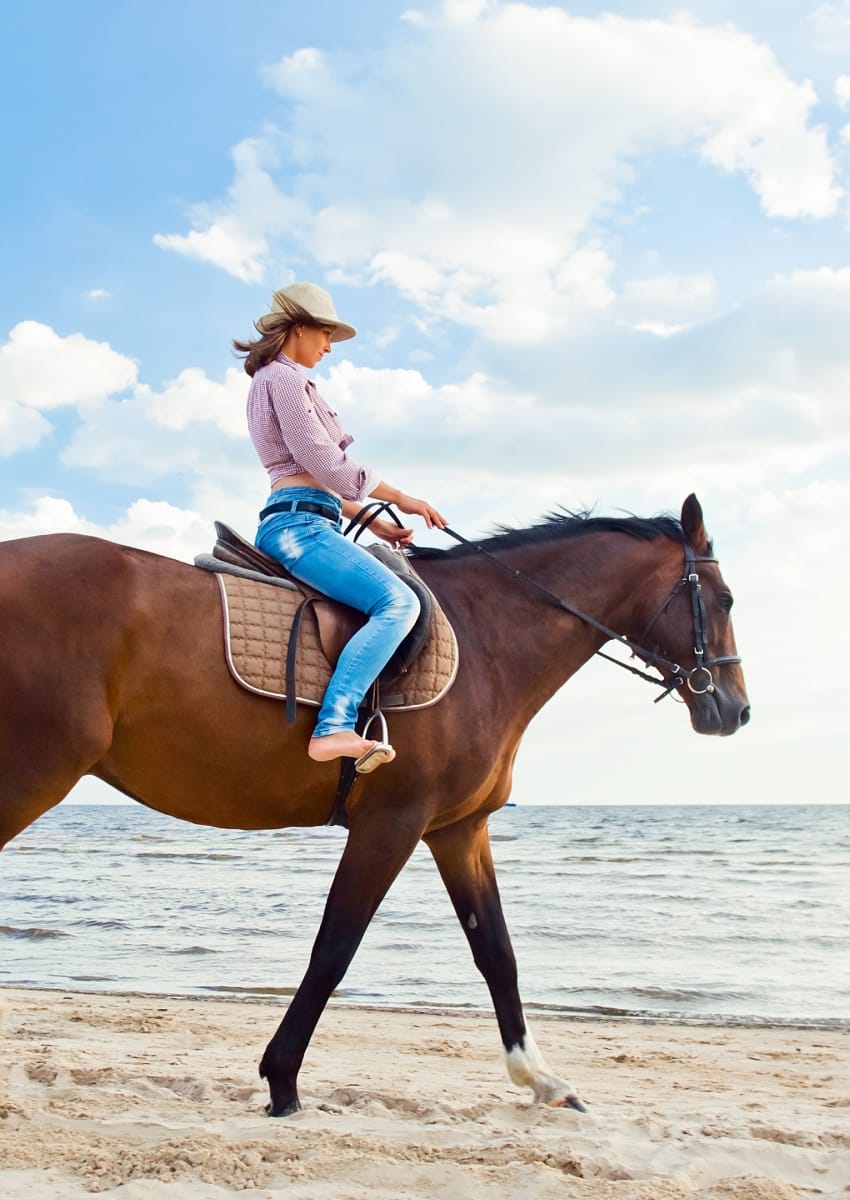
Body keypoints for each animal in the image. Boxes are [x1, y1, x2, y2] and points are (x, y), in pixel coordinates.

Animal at [0, 493, 749, 1116]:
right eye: (727, 600)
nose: (735, 710)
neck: (488, 639)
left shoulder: (458, 830)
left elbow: (496, 952)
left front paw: (541, 1078)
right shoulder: (392, 825)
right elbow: (335, 948)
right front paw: (282, 1081)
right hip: (30, 774)